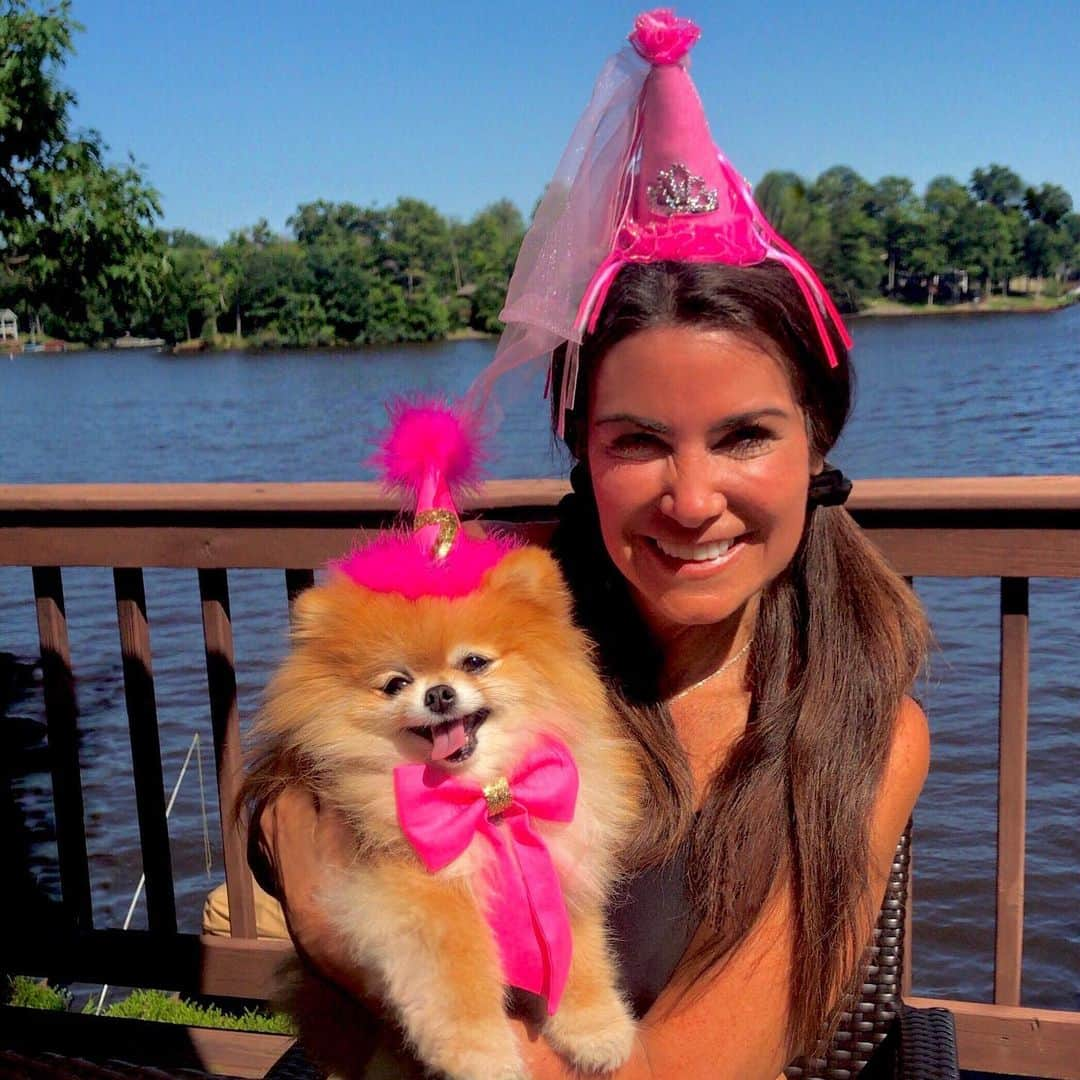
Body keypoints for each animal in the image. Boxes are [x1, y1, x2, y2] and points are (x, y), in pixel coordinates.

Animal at [245, 544, 639, 1080]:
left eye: (474, 662)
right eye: (395, 683)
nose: (438, 693)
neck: (484, 796)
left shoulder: (560, 869)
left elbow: (579, 954)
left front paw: (597, 1029)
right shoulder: (415, 890)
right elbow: (460, 967)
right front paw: (481, 1055)